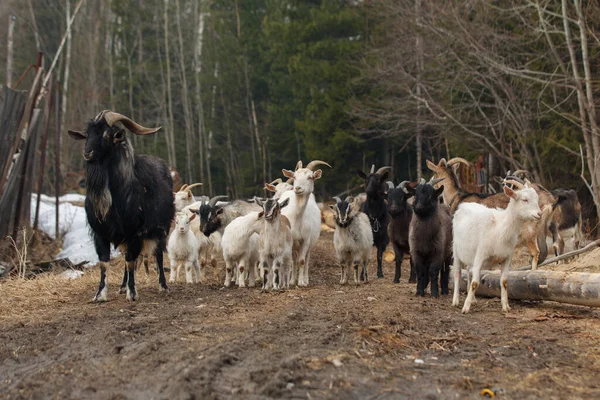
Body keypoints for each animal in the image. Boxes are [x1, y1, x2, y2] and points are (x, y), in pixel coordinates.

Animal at [69, 109, 176, 300]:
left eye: (106, 134)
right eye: (87, 134)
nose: (87, 153)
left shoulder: (135, 232)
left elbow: (130, 261)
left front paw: (132, 293)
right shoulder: (100, 234)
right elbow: (105, 263)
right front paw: (100, 295)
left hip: (161, 230)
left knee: (157, 254)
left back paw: (162, 286)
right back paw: (122, 286)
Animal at [278, 159, 330, 288]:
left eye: (310, 177)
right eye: (295, 176)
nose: (297, 188)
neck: (297, 218)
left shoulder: (306, 240)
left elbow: (302, 261)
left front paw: (301, 282)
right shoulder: (291, 241)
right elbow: (293, 261)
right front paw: (291, 281)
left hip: (310, 243)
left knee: (306, 259)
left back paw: (306, 279)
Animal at [454, 183, 544, 314]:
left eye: (537, 198)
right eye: (524, 200)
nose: (539, 214)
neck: (500, 228)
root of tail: (464, 205)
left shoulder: (507, 257)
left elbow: (504, 282)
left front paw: (506, 306)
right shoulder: (481, 254)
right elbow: (475, 283)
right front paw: (465, 308)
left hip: (471, 256)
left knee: (469, 272)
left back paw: (473, 299)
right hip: (456, 249)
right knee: (458, 273)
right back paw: (455, 301)